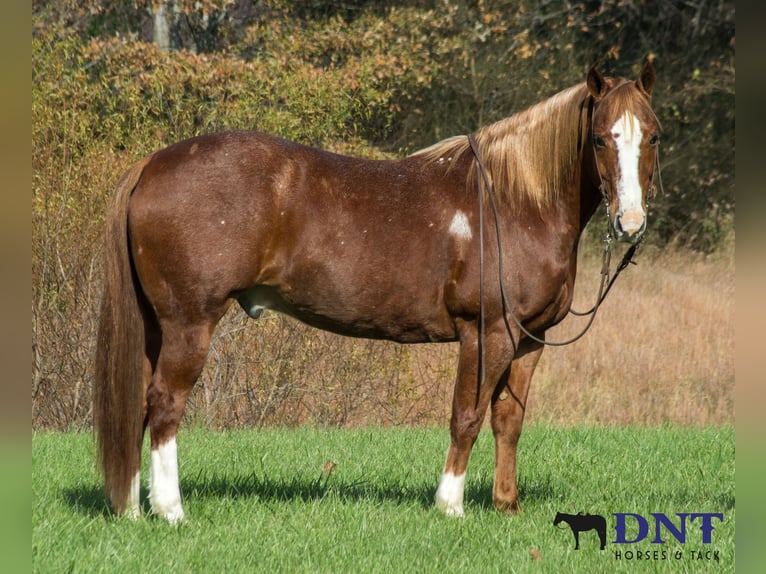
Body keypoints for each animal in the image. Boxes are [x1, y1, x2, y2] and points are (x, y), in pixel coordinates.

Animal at [94, 62, 660, 522]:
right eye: (599, 139)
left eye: (652, 137)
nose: (630, 223)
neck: (512, 201)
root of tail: (152, 164)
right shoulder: (487, 334)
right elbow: (467, 416)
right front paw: (450, 506)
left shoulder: (530, 340)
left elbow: (508, 420)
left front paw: (506, 505)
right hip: (190, 322)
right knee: (165, 404)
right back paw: (171, 512)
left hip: (156, 327)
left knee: (141, 405)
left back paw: (134, 507)